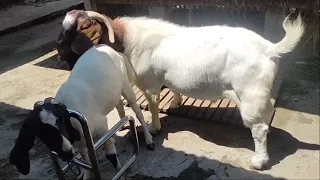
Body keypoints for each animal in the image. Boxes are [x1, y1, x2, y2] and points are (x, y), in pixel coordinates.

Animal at [69, 10, 304, 169]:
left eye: (82, 27)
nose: (67, 54)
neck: (129, 40)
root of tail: (270, 48)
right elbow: (174, 89)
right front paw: (175, 103)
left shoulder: (150, 84)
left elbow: (152, 106)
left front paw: (154, 128)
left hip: (250, 93)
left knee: (259, 128)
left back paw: (258, 161)